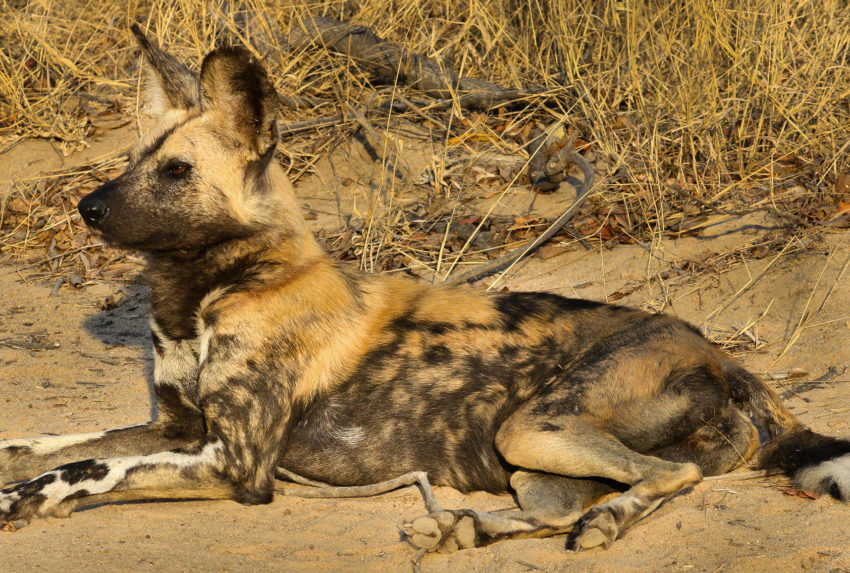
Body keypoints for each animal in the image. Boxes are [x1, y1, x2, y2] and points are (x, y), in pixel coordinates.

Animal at [1, 29, 848, 552]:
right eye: (134, 161)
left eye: (176, 173)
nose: (88, 207)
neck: (207, 292)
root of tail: (723, 356)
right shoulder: (175, 429)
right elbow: (45, 446)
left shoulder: (234, 461)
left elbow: (83, 467)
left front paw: (27, 498)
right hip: (531, 460)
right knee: (587, 500)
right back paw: (468, 530)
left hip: (534, 427)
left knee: (673, 477)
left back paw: (594, 526)